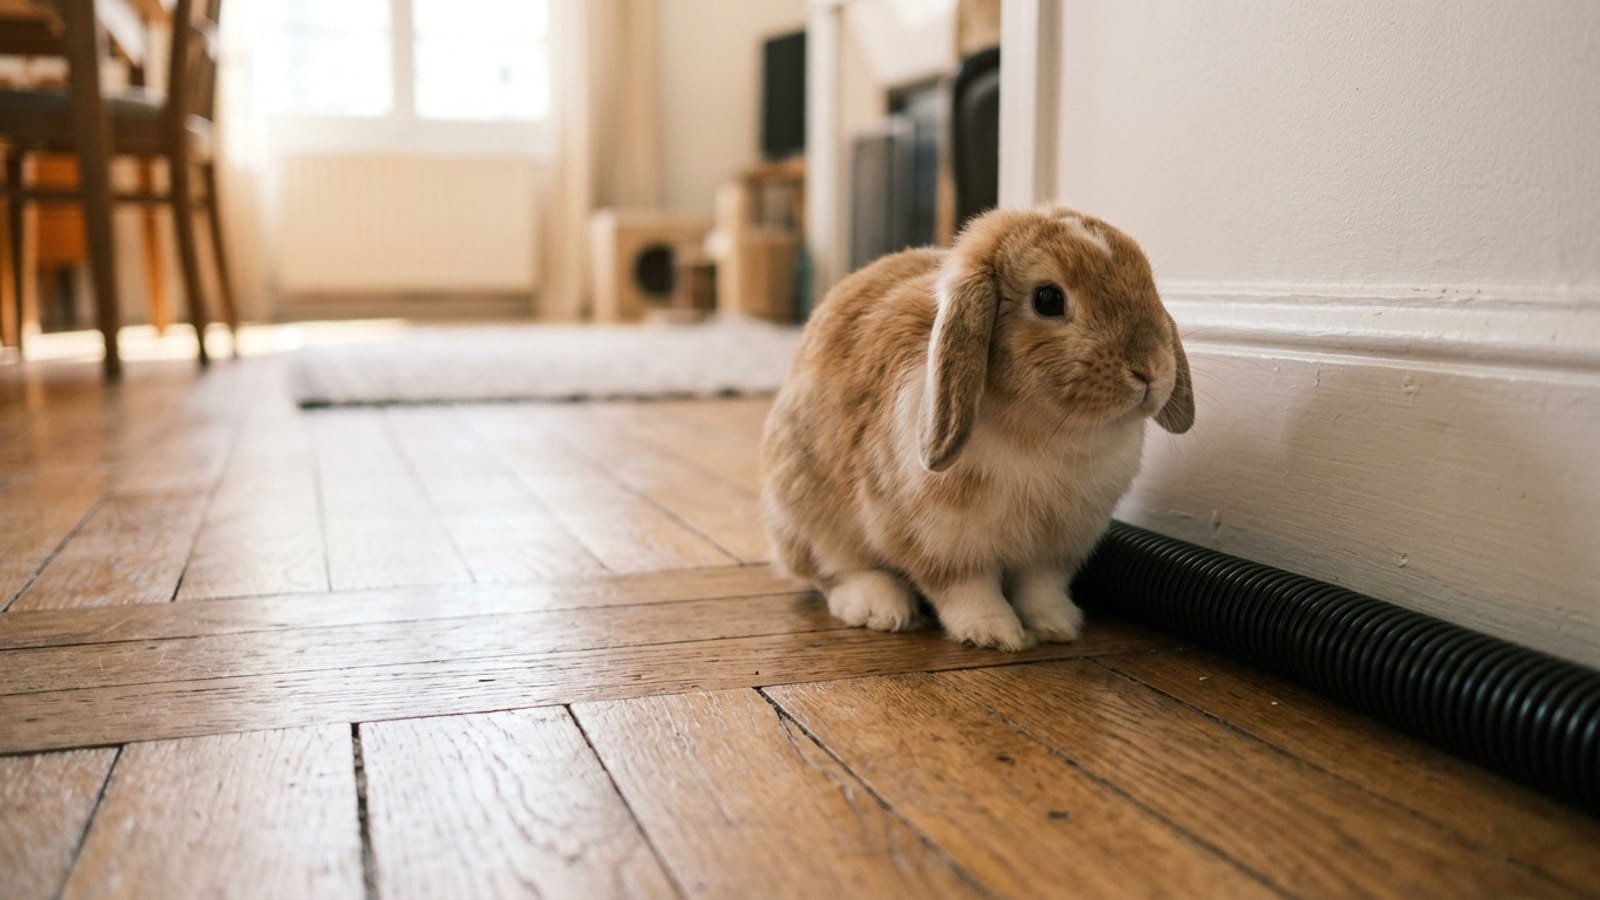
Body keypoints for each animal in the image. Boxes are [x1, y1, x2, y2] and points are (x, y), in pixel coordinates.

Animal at [760, 207, 1194, 651]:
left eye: (1147, 282)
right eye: (1049, 299)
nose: (1149, 370)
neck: (1045, 431)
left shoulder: (1054, 548)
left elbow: (1041, 588)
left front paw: (1056, 626)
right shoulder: (942, 542)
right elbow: (966, 589)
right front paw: (995, 633)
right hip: (808, 508)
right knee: (831, 568)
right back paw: (880, 608)